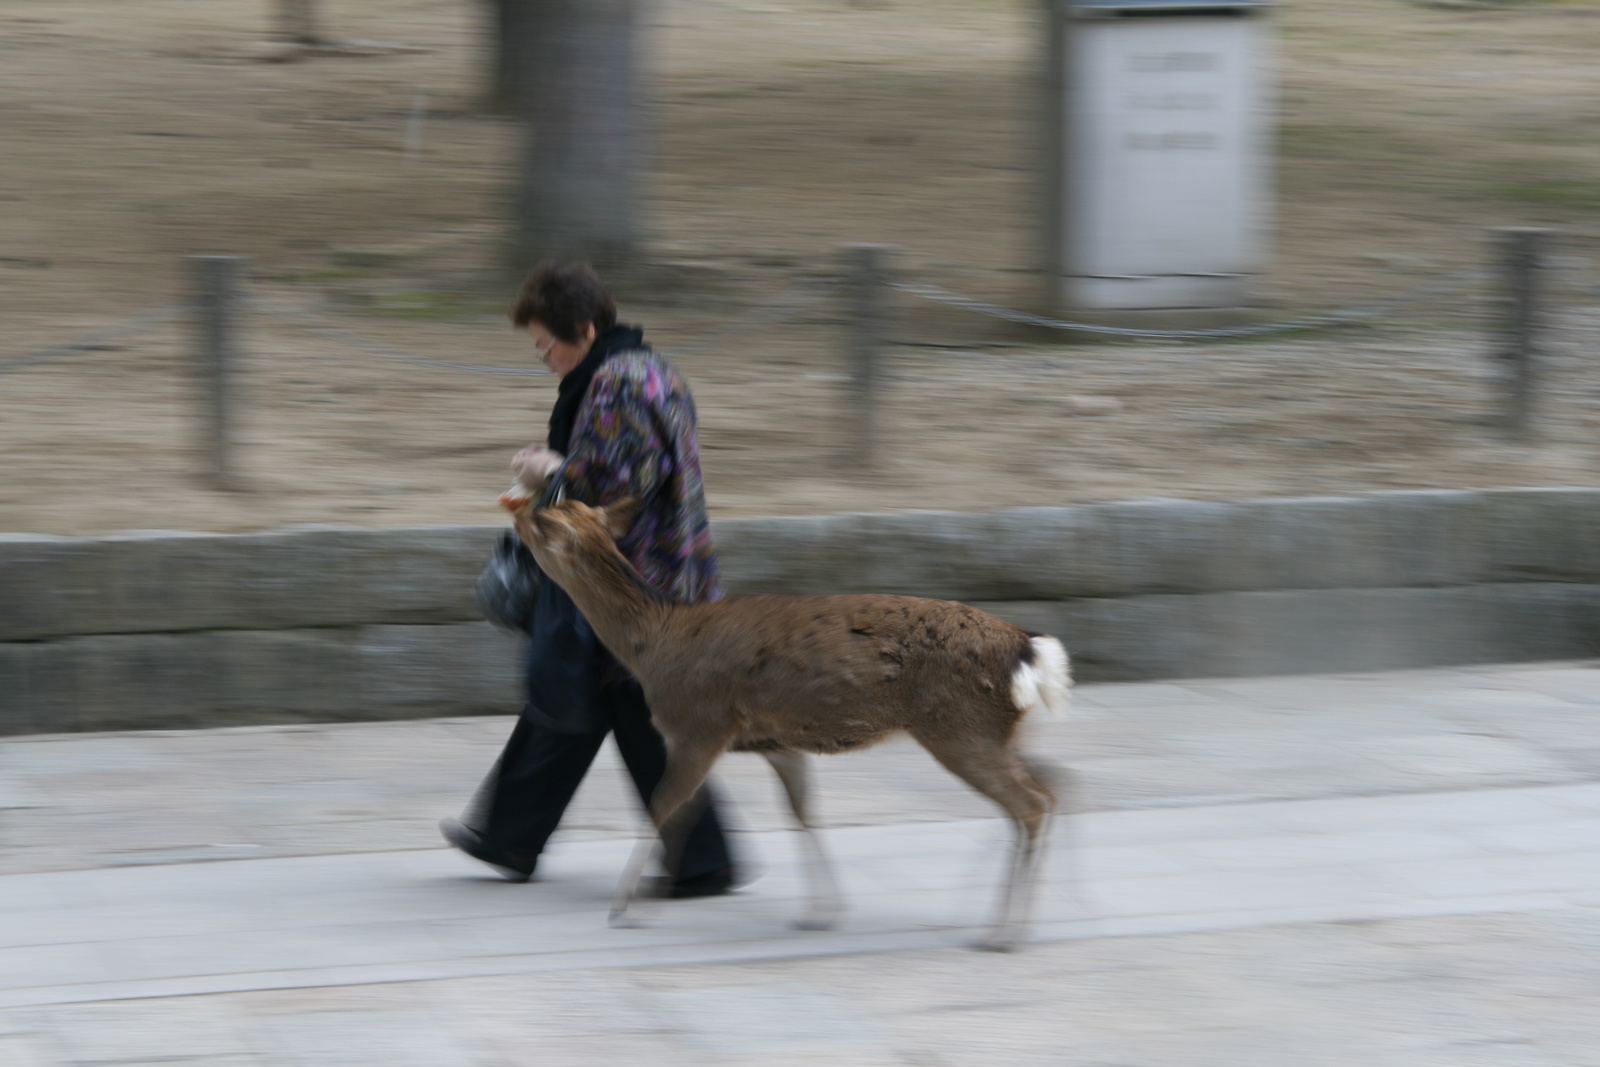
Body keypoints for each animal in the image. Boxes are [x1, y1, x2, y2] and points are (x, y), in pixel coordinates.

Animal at [505, 495, 1068, 953]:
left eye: (539, 520)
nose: (511, 512)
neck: (654, 647)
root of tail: (1028, 649)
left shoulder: (697, 725)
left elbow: (664, 808)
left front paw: (624, 908)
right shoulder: (774, 741)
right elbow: (801, 811)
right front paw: (823, 912)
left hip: (960, 728)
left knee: (1031, 803)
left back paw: (1002, 934)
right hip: (1000, 731)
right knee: (1051, 787)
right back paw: (1007, 920)